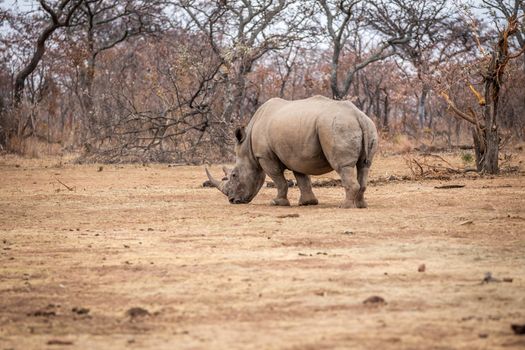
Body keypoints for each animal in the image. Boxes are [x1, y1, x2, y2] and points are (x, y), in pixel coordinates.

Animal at [205, 95, 376, 208]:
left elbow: (278, 179)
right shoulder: (296, 156)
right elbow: (302, 178)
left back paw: (345, 206)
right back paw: (361, 205)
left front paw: (276, 202)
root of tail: (357, 115)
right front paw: (307, 203)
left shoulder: (264, 156)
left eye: (234, 175)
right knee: (364, 165)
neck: (248, 149)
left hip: (336, 126)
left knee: (343, 166)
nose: (232, 200)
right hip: (367, 125)